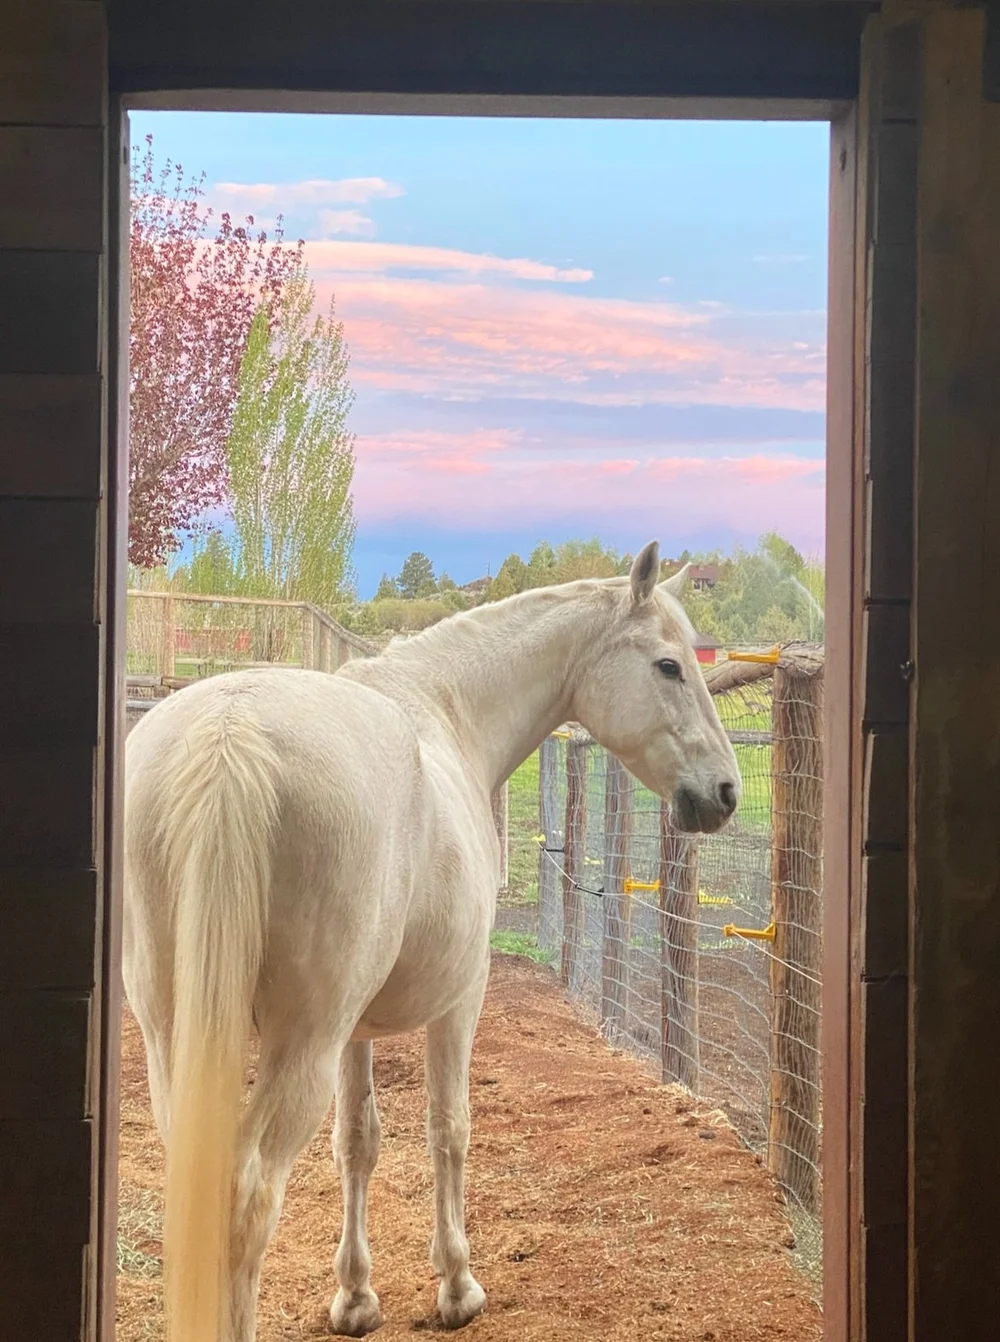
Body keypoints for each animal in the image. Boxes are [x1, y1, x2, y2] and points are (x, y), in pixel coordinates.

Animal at [122, 540, 740, 1342]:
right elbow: (449, 1128)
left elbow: (358, 1140)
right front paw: (457, 1285)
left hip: (179, 1036)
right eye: (669, 665)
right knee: (247, 1195)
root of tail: (229, 736)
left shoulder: (356, 1032)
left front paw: (356, 1297)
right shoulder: (460, 999)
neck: (445, 710)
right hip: (299, 1042)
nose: (724, 793)